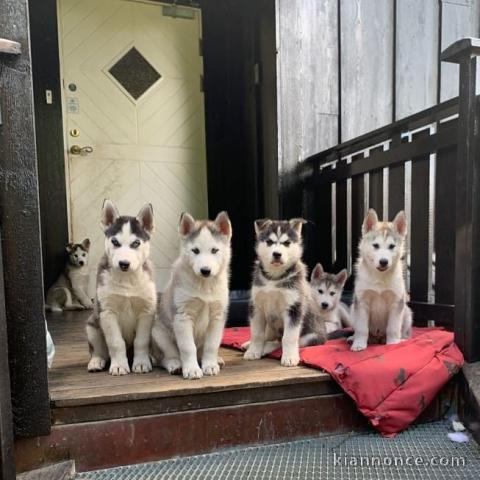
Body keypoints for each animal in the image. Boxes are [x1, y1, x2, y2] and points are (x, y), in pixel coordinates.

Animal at [84, 199, 156, 376]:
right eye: (115, 242)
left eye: (136, 243)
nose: (124, 264)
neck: (127, 280)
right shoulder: (107, 313)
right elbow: (116, 343)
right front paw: (119, 366)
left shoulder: (146, 312)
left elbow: (141, 341)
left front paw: (141, 363)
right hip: (92, 326)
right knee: (98, 350)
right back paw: (96, 361)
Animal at [151, 212, 232, 380]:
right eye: (195, 251)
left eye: (214, 250)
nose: (205, 270)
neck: (204, 286)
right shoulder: (182, 317)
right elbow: (188, 347)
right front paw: (192, 370)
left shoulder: (217, 317)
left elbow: (211, 345)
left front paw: (210, 365)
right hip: (158, 333)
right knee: (166, 357)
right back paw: (175, 365)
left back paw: (216, 360)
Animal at [242, 219, 328, 366]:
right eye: (269, 242)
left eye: (287, 243)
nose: (277, 254)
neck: (274, 278)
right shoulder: (256, 306)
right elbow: (257, 334)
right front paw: (253, 351)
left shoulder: (293, 308)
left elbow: (288, 338)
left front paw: (290, 357)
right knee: (270, 336)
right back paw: (251, 344)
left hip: (309, 337)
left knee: (280, 342)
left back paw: (268, 347)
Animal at [348, 208, 412, 350]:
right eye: (376, 245)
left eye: (392, 246)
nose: (383, 261)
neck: (380, 278)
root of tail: (377, 338)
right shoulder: (362, 302)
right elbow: (362, 329)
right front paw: (359, 344)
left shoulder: (396, 302)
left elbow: (393, 328)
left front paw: (393, 343)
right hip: (353, 310)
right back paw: (353, 338)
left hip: (407, 313)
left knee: (402, 330)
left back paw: (401, 339)